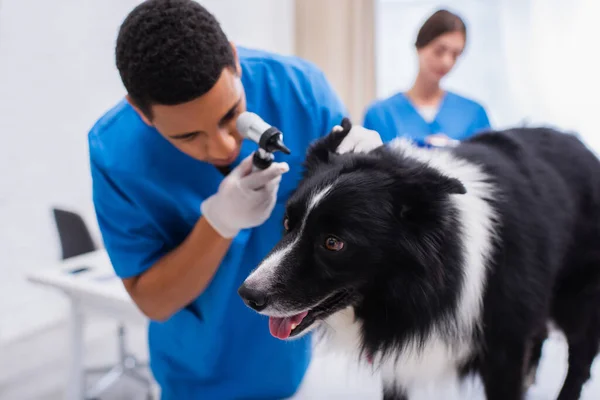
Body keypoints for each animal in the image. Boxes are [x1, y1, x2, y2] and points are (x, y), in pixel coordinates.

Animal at [237, 122, 600, 400]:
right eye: (288, 223)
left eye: (333, 243)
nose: (247, 295)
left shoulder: (503, 348)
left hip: (577, 298)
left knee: (580, 359)